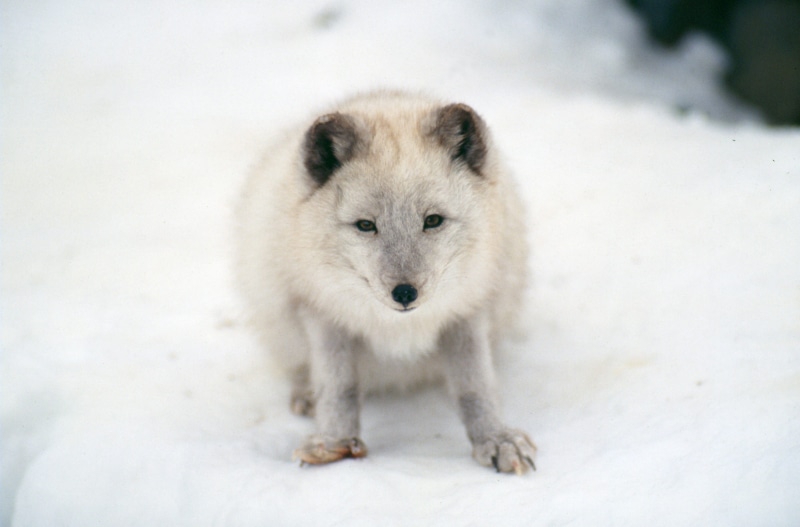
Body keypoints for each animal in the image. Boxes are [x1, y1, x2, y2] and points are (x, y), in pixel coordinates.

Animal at [235, 90, 535, 474]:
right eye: (366, 225)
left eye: (433, 220)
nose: (405, 293)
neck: (397, 327)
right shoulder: (322, 314)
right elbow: (339, 387)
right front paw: (333, 442)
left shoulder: (467, 313)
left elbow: (475, 387)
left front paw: (495, 439)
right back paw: (306, 393)